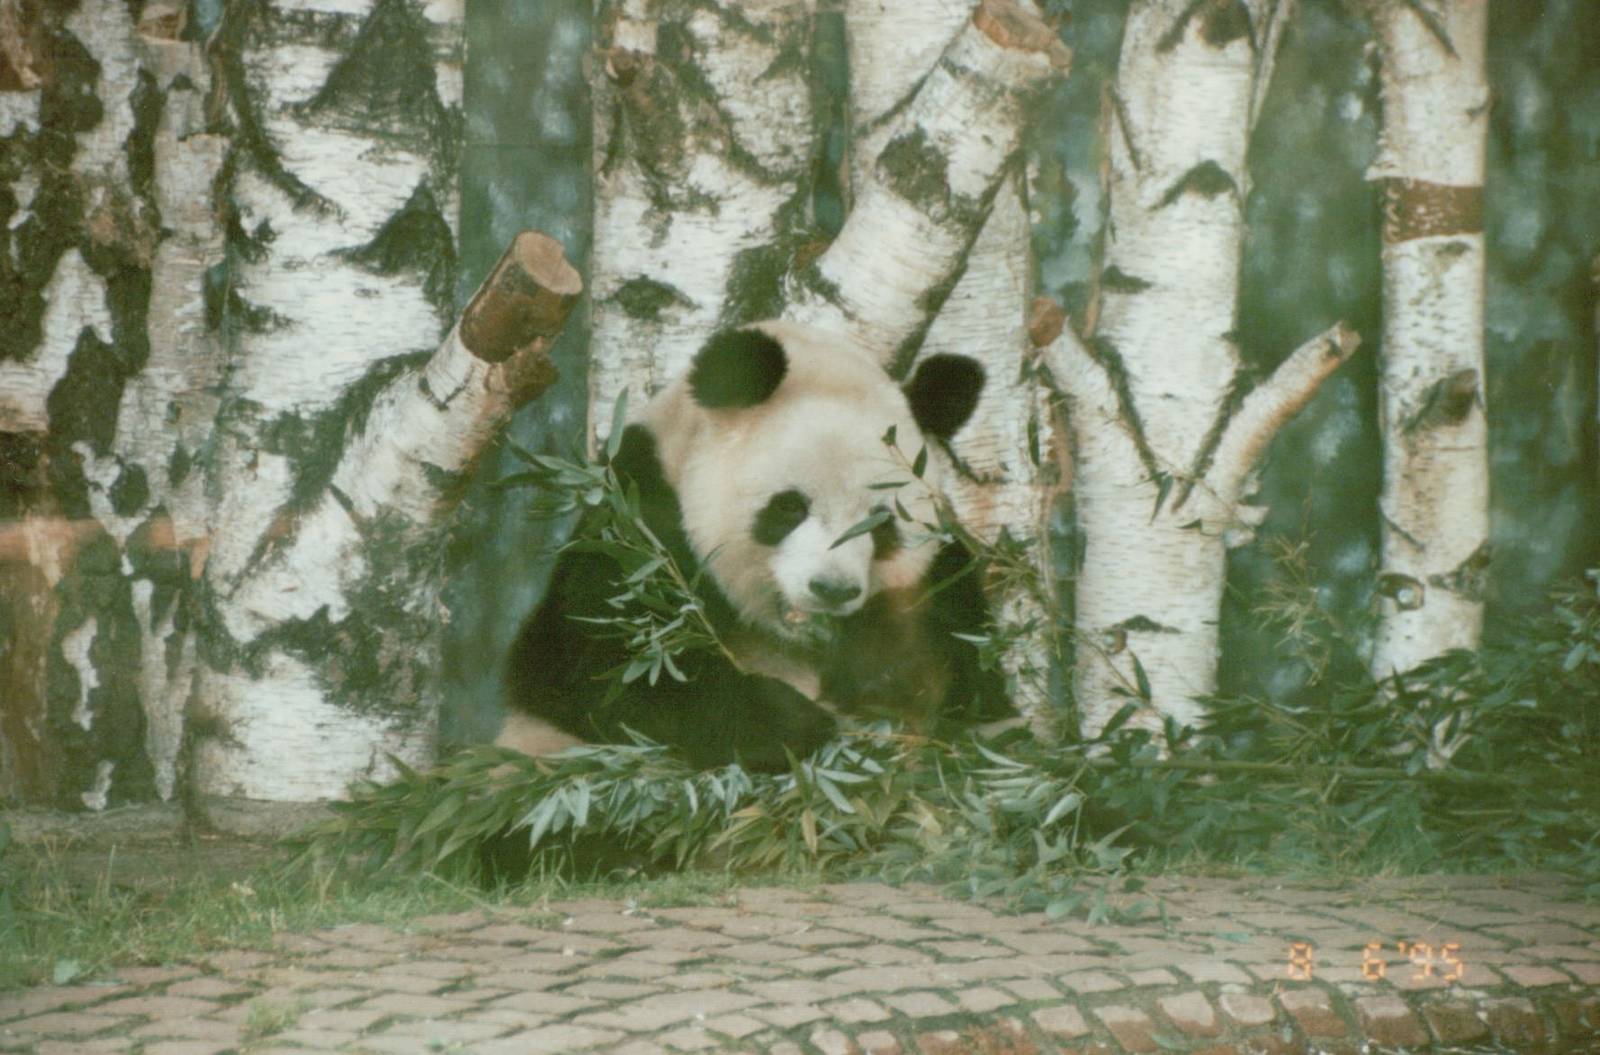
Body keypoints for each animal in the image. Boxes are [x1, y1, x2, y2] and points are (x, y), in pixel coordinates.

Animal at [498, 320, 1008, 772]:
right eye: (790, 509)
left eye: (882, 523)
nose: (832, 589)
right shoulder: (639, 518)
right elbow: (603, 664)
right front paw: (788, 725)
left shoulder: (943, 577)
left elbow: (968, 683)